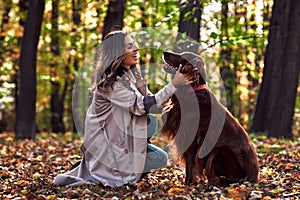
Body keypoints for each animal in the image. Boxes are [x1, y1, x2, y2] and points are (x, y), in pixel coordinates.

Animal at [161, 50, 258, 185]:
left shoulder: (191, 138)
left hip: (219, 151)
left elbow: (189, 165)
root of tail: (254, 178)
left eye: (182, 56)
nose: (164, 52)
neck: (193, 91)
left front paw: (187, 184)